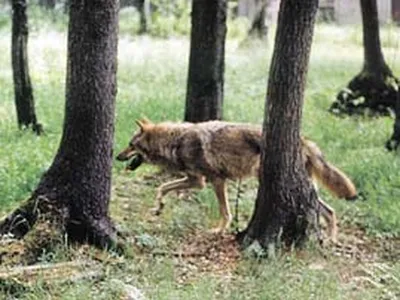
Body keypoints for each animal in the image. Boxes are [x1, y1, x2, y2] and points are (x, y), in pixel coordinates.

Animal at [115, 118, 356, 243]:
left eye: (130, 145)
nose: (117, 156)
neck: (176, 141)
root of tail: (305, 141)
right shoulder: (196, 180)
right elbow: (162, 187)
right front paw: (158, 208)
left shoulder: (213, 181)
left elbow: (225, 212)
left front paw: (219, 231)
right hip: (307, 190)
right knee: (329, 211)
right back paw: (331, 239)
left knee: (327, 210)